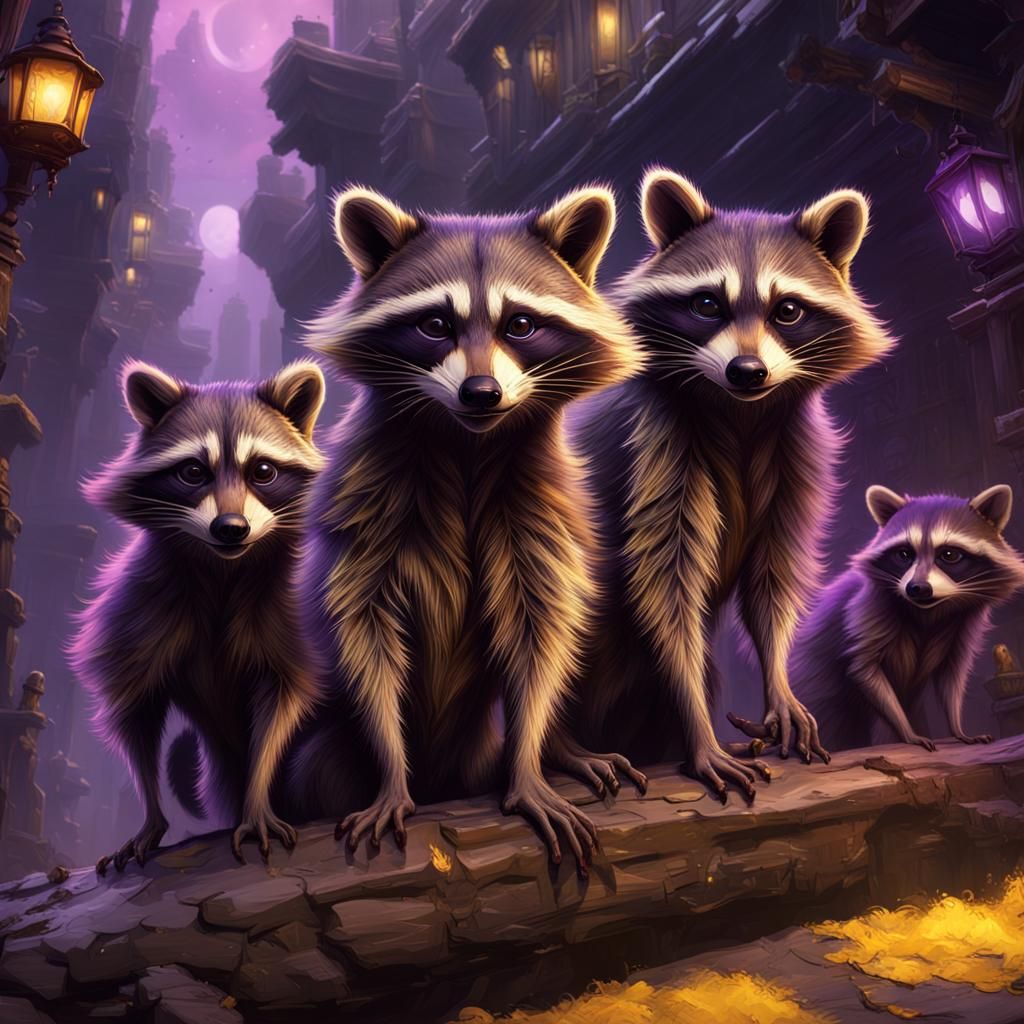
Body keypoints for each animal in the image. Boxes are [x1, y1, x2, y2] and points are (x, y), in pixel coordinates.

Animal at [70, 360, 326, 869]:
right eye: (192, 472)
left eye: (262, 471)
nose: (231, 528)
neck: (222, 569)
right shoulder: (143, 610)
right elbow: (135, 712)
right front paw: (151, 819)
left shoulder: (289, 615)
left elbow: (281, 702)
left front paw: (256, 803)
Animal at [287, 184, 643, 866]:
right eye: (435, 325)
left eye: (521, 325)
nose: (481, 392)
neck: (469, 443)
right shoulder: (369, 498)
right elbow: (363, 627)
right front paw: (391, 772)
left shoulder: (538, 506)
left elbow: (540, 630)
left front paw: (529, 764)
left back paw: (557, 748)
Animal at [569, 168, 895, 795]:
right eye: (706, 304)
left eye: (787, 310)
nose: (748, 371)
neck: (741, 412)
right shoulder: (657, 443)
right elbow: (664, 584)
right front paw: (701, 730)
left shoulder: (796, 447)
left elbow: (773, 575)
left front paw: (779, 681)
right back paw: (560, 746)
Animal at [785, 485, 1024, 751]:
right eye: (904, 554)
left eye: (949, 555)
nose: (917, 588)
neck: (930, 610)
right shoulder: (867, 608)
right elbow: (864, 668)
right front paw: (908, 733)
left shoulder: (964, 624)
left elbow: (952, 676)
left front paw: (957, 727)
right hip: (819, 697)